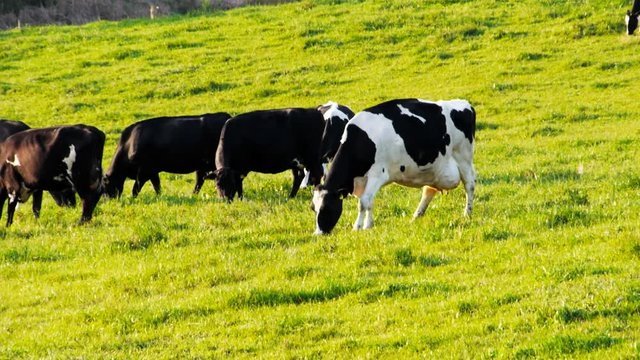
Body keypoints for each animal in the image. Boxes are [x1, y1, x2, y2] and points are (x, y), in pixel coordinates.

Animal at [104, 112, 234, 198]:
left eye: (104, 187)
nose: (108, 201)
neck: (128, 144)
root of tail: (226, 116)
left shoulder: (144, 171)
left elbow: (136, 188)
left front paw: (133, 199)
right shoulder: (152, 171)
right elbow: (157, 186)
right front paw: (160, 197)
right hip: (202, 165)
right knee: (199, 180)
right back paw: (193, 195)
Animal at [310, 98, 476, 235]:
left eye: (326, 208)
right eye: (313, 208)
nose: (318, 234)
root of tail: (465, 104)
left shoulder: (377, 174)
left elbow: (363, 202)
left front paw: (357, 227)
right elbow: (370, 202)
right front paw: (368, 225)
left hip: (464, 157)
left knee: (469, 185)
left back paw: (467, 214)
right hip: (434, 169)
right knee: (429, 190)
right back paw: (416, 216)